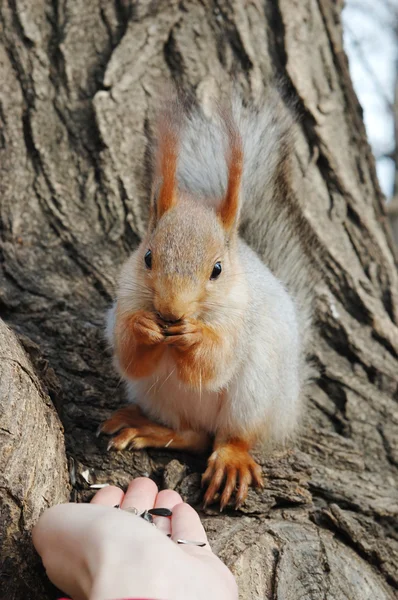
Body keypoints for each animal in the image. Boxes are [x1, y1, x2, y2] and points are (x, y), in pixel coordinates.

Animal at [98, 86, 316, 508]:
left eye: (217, 269)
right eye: (147, 257)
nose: (170, 312)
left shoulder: (239, 321)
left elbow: (215, 365)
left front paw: (196, 338)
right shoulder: (127, 298)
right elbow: (131, 356)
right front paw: (143, 327)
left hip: (257, 391)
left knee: (231, 437)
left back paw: (231, 460)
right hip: (156, 393)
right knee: (193, 435)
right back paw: (147, 428)